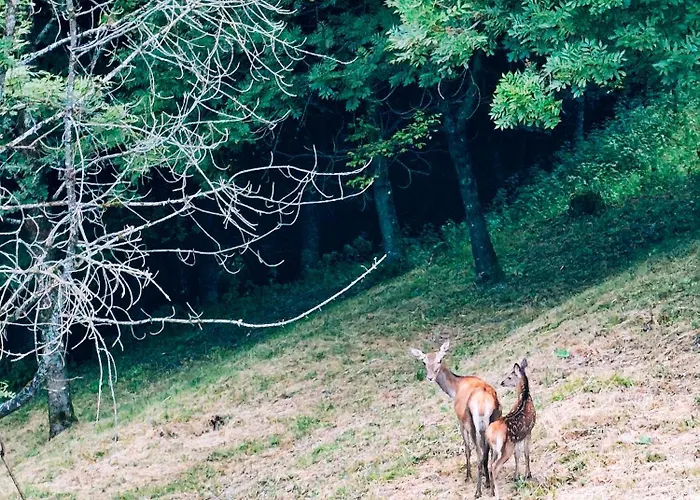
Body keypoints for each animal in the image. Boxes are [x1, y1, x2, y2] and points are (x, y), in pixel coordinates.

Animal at [410, 339, 501, 498]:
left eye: (440, 360)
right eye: (424, 362)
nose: (430, 377)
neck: (454, 389)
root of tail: (485, 400)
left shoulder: (461, 421)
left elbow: (467, 448)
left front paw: (468, 476)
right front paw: (486, 479)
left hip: (472, 422)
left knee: (479, 453)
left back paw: (478, 491)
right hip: (495, 416)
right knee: (489, 453)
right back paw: (490, 486)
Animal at [485, 358, 536, 500]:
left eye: (509, 377)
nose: (502, 382)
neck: (525, 397)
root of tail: (489, 433)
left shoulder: (517, 439)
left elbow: (517, 456)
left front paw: (516, 476)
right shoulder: (528, 432)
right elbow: (526, 453)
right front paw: (528, 474)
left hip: (495, 449)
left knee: (490, 465)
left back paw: (491, 491)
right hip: (506, 447)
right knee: (494, 467)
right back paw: (498, 494)